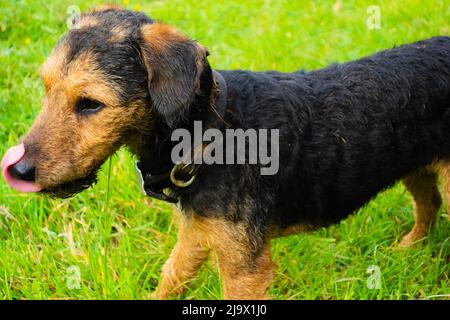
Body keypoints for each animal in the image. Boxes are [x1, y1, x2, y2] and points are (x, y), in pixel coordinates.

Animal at [0, 5, 450, 300]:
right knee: (428, 203)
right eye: (45, 87)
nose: (18, 170)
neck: (211, 133)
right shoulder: (198, 232)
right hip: (416, 166)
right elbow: (171, 277)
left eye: (91, 104)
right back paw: (409, 249)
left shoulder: (246, 268)